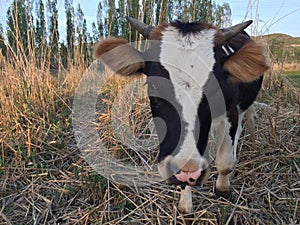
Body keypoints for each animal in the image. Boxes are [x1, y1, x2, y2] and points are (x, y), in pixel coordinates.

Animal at [96, 16, 270, 214]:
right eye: (154, 86)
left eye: (215, 90)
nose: (188, 171)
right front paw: (185, 203)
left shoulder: (231, 113)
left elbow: (225, 161)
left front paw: (222, 187)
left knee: (246, 118)